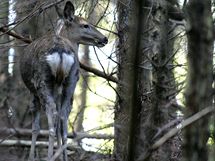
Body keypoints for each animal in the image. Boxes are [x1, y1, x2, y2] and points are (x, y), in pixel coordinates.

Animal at [19, 1, 107, 161]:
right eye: (85, 25)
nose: (105, 38)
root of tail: (60, 50)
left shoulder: (32, 91)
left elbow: (35, 128)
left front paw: (31, 157)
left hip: (42, 81)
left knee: (53, 115)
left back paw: (49, 156)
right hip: (71, 80)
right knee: (63, 117)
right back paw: (63, 155)